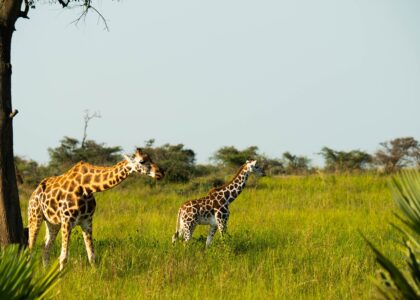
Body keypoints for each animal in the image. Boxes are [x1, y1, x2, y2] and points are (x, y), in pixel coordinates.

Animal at [27, 148, 162, 270]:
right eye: (141, 161)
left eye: (151, 158)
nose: (161, 173)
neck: (87, 187)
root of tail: (33, 193)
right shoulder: (67, 221)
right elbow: (63, 257)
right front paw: (59, 279)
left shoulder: (87, 221)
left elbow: (92, 256)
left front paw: (95, 276)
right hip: (35, 217)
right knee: (30, 247)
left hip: (52, 223)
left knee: (45, 248)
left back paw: (45, 272)